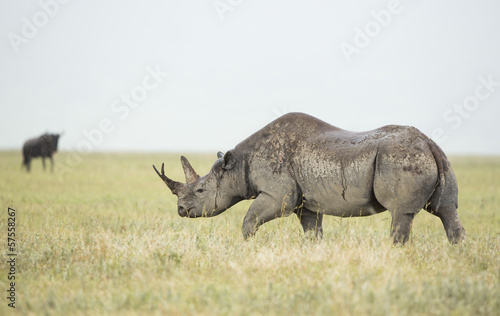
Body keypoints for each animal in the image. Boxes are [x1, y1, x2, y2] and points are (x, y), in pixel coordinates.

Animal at [154, 113, 466, 244]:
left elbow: (249, 219)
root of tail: (429, 143)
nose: (180, 210)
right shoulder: (305, 203)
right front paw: (314, 250)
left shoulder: (278, 194)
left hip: (400, 158)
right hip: (434, 159)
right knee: (446, 209)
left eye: (201, 190)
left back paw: (395, 252)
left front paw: (247, 246)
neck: (237, 165)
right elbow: (312, 230)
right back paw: (457, 252)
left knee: (401, 213)